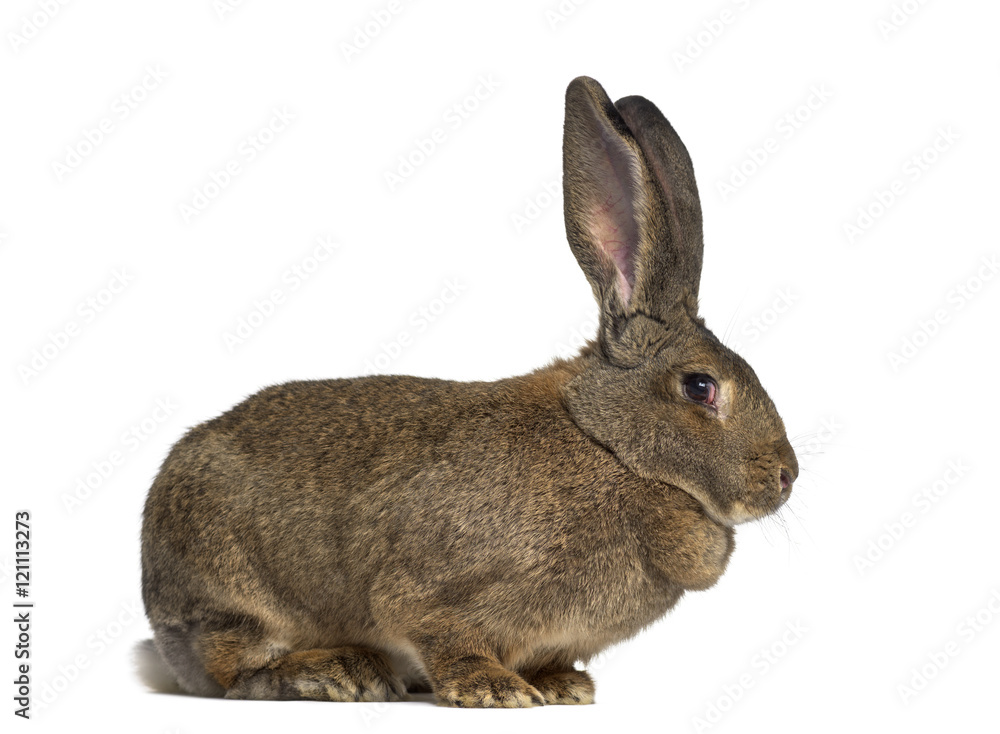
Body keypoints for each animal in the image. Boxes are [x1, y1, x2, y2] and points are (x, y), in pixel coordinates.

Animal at [139, 77, 796, 712]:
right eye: (700, 387)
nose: (787, 476)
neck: (609, 448)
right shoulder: (432, 592)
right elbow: (446, 638)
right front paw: (495, 691)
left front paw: (563, 687)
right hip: (234, 594)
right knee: (237, 670)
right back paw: (337, 674)